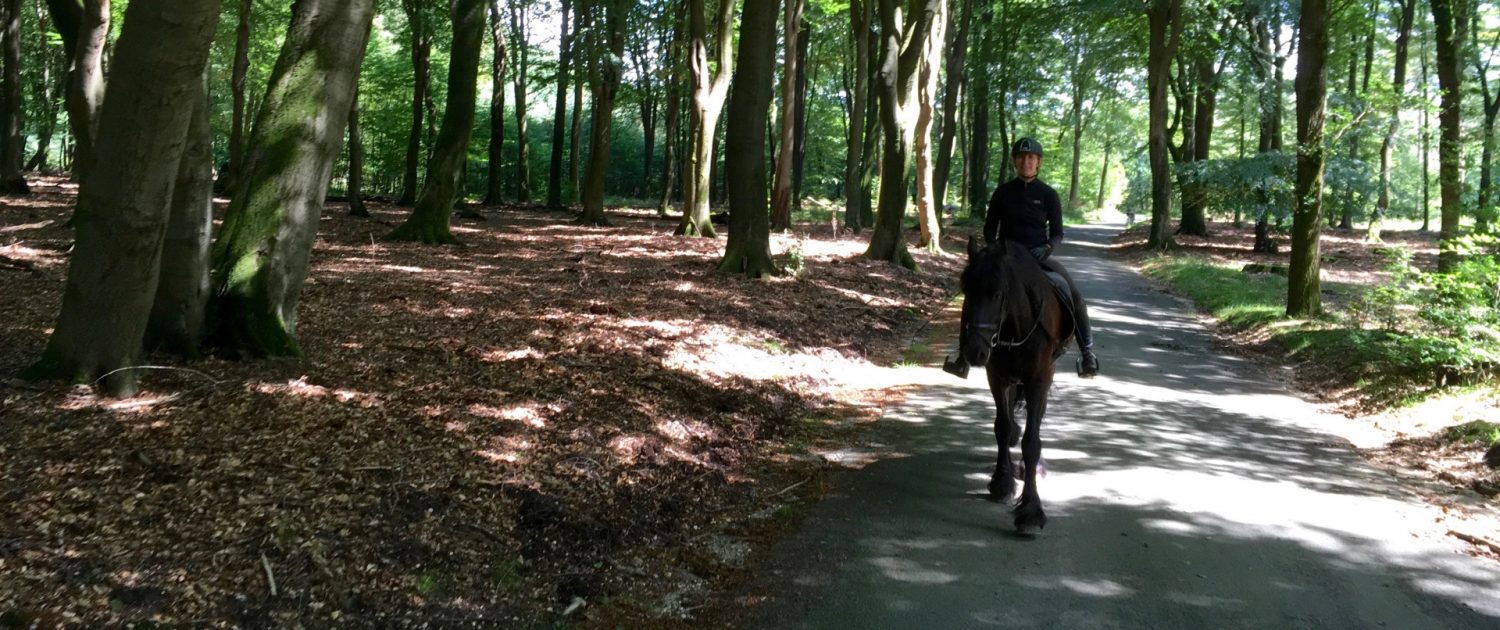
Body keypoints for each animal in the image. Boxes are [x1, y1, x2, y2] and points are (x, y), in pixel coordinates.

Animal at [954, 237, 1074, 537]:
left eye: (997, 294)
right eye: (967, 291)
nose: (974, 351)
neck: (1015, 329)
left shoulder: (1038, 381)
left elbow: (1032, 442)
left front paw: (1030, 510)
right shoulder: (996, 376)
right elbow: (1002, 427)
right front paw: (1002, 481)